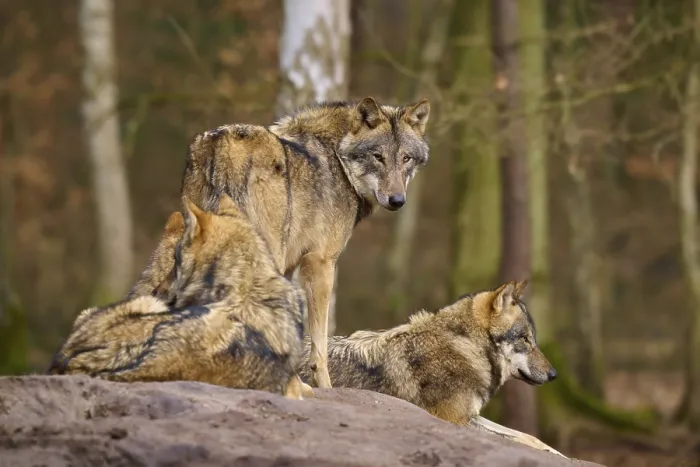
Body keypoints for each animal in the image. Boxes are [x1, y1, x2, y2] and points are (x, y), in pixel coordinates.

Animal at [180, 96, 431, 389]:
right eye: (377, 156)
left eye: (405, 158)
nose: (397, 200)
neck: (338, 159)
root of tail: (224, 147)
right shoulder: (320, 262)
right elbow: (319, 342)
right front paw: (323, 385)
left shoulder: (292, 267)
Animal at [297, 280, 565, 457]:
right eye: (525, 339)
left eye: (532, 339)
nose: (554, 375)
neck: (465, 347)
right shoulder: (455, 419)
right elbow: (518, 439)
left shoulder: (470, 415)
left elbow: (528, 437)